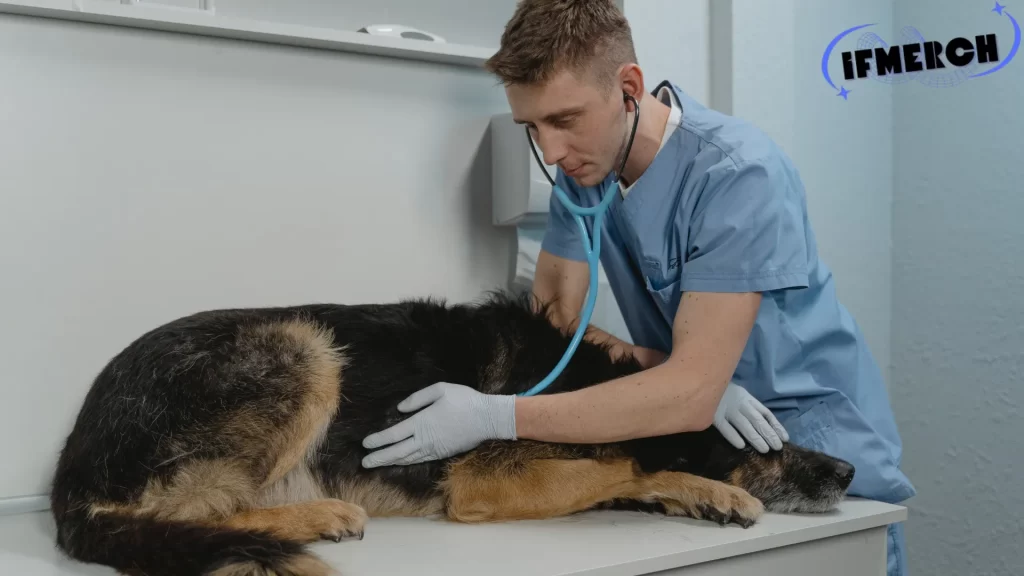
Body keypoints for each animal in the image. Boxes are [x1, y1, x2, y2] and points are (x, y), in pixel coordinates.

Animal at [49, 291, 856, 573]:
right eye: (763, 445)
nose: (848, 474)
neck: (587, 385)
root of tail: (70, 477)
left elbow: (623, 472)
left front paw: (695, 495)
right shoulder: (483, 480)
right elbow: (626, 462)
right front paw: (708, 487)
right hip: (304, 347)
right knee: (189, 511)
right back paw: (317, 516)